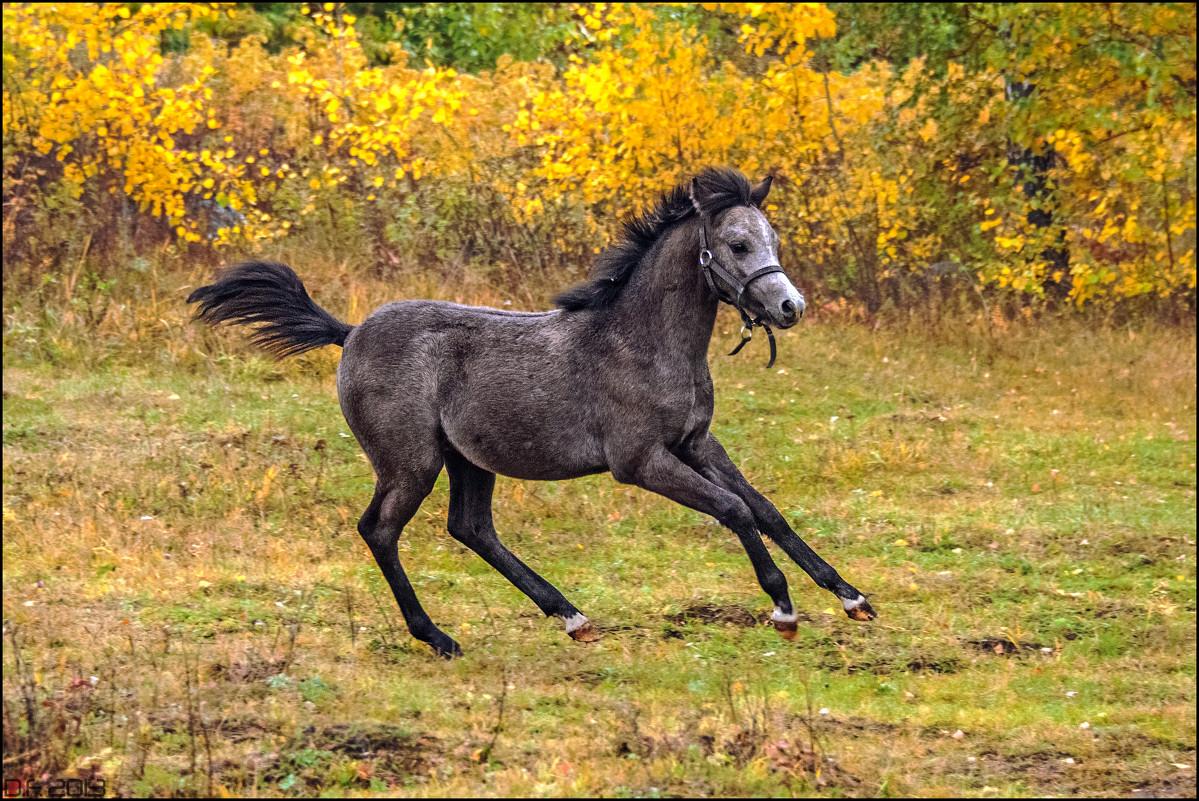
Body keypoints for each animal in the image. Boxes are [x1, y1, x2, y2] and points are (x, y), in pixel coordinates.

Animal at [189, 169, 882, 657]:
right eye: (737, 244)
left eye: (774, 240)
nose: (790, 307)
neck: (644, 342)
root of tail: (350, 331)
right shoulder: (641, 461)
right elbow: (735, 509)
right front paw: (783, 611)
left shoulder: (696, 443)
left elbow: (765, 508)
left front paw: (851, 598)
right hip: (410, 462)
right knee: (379, 529)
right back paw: (438, 637)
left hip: (467, 460)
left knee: (471, 529)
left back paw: (572, 618)